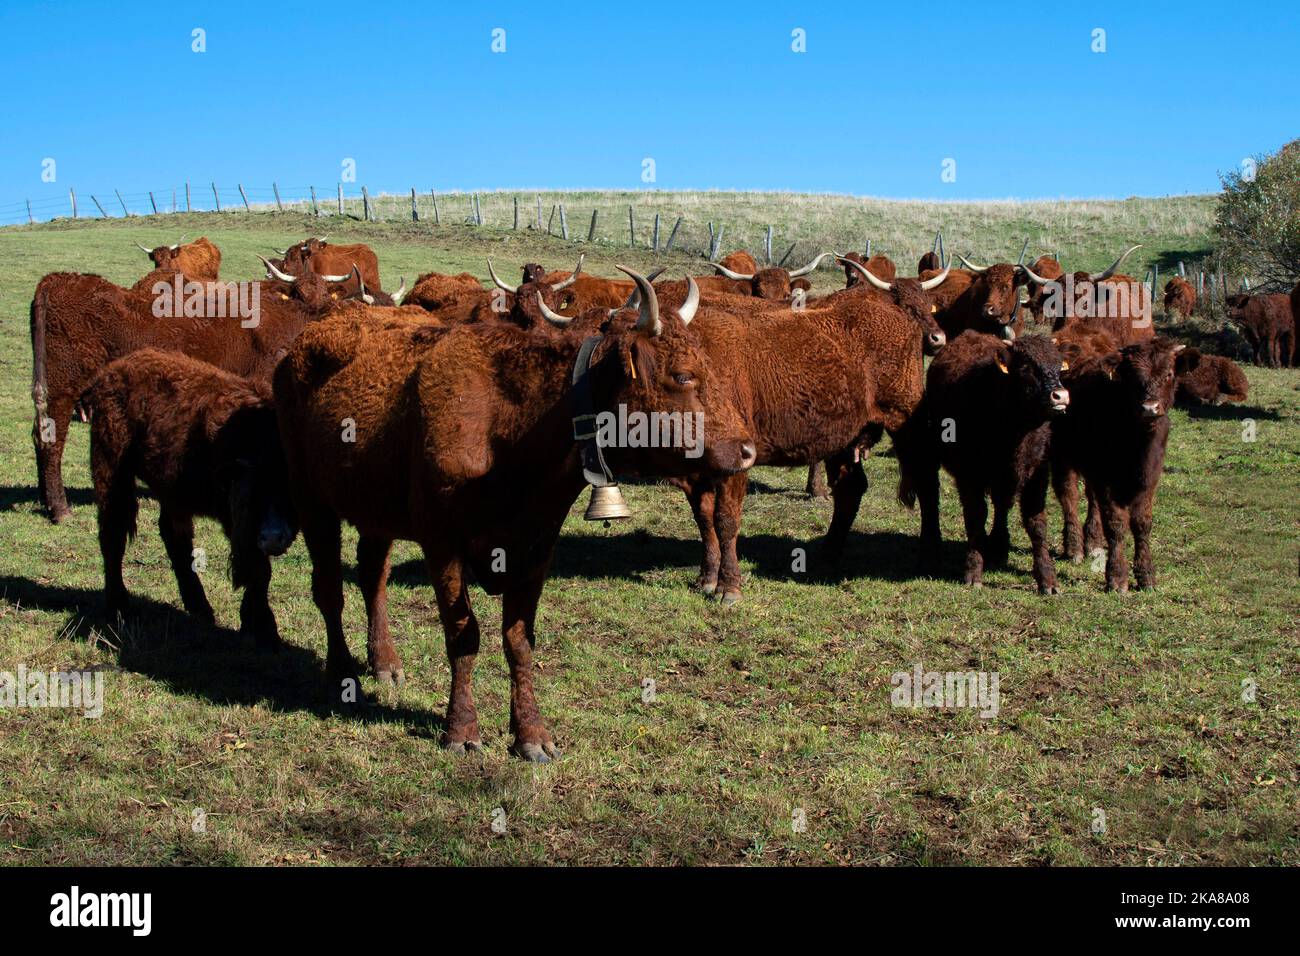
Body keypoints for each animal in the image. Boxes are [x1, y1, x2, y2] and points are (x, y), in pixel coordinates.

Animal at [83, 348, 299, 647]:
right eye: (254, 493)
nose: (272, 538)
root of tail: (115, 369)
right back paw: (118, 604)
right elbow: (259, 570)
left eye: (288, 488)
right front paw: (265, 631)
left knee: (174, 536)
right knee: (112, 535)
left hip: (172, 492)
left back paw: (199, 606)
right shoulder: (237, 521)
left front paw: (252, 622)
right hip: (111, 470)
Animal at [279, 270, 759, 764]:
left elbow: (519, 641)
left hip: (375, 509)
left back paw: (385, 663)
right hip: (311, 499)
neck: (511, 423)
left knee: (372, 576)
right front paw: (461, 730)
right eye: (682, 375)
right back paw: (342, 673)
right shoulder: (442, 544)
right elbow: (463, 635)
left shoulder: (536, 547)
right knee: (330, 589)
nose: (747, 450)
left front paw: (531, 733)